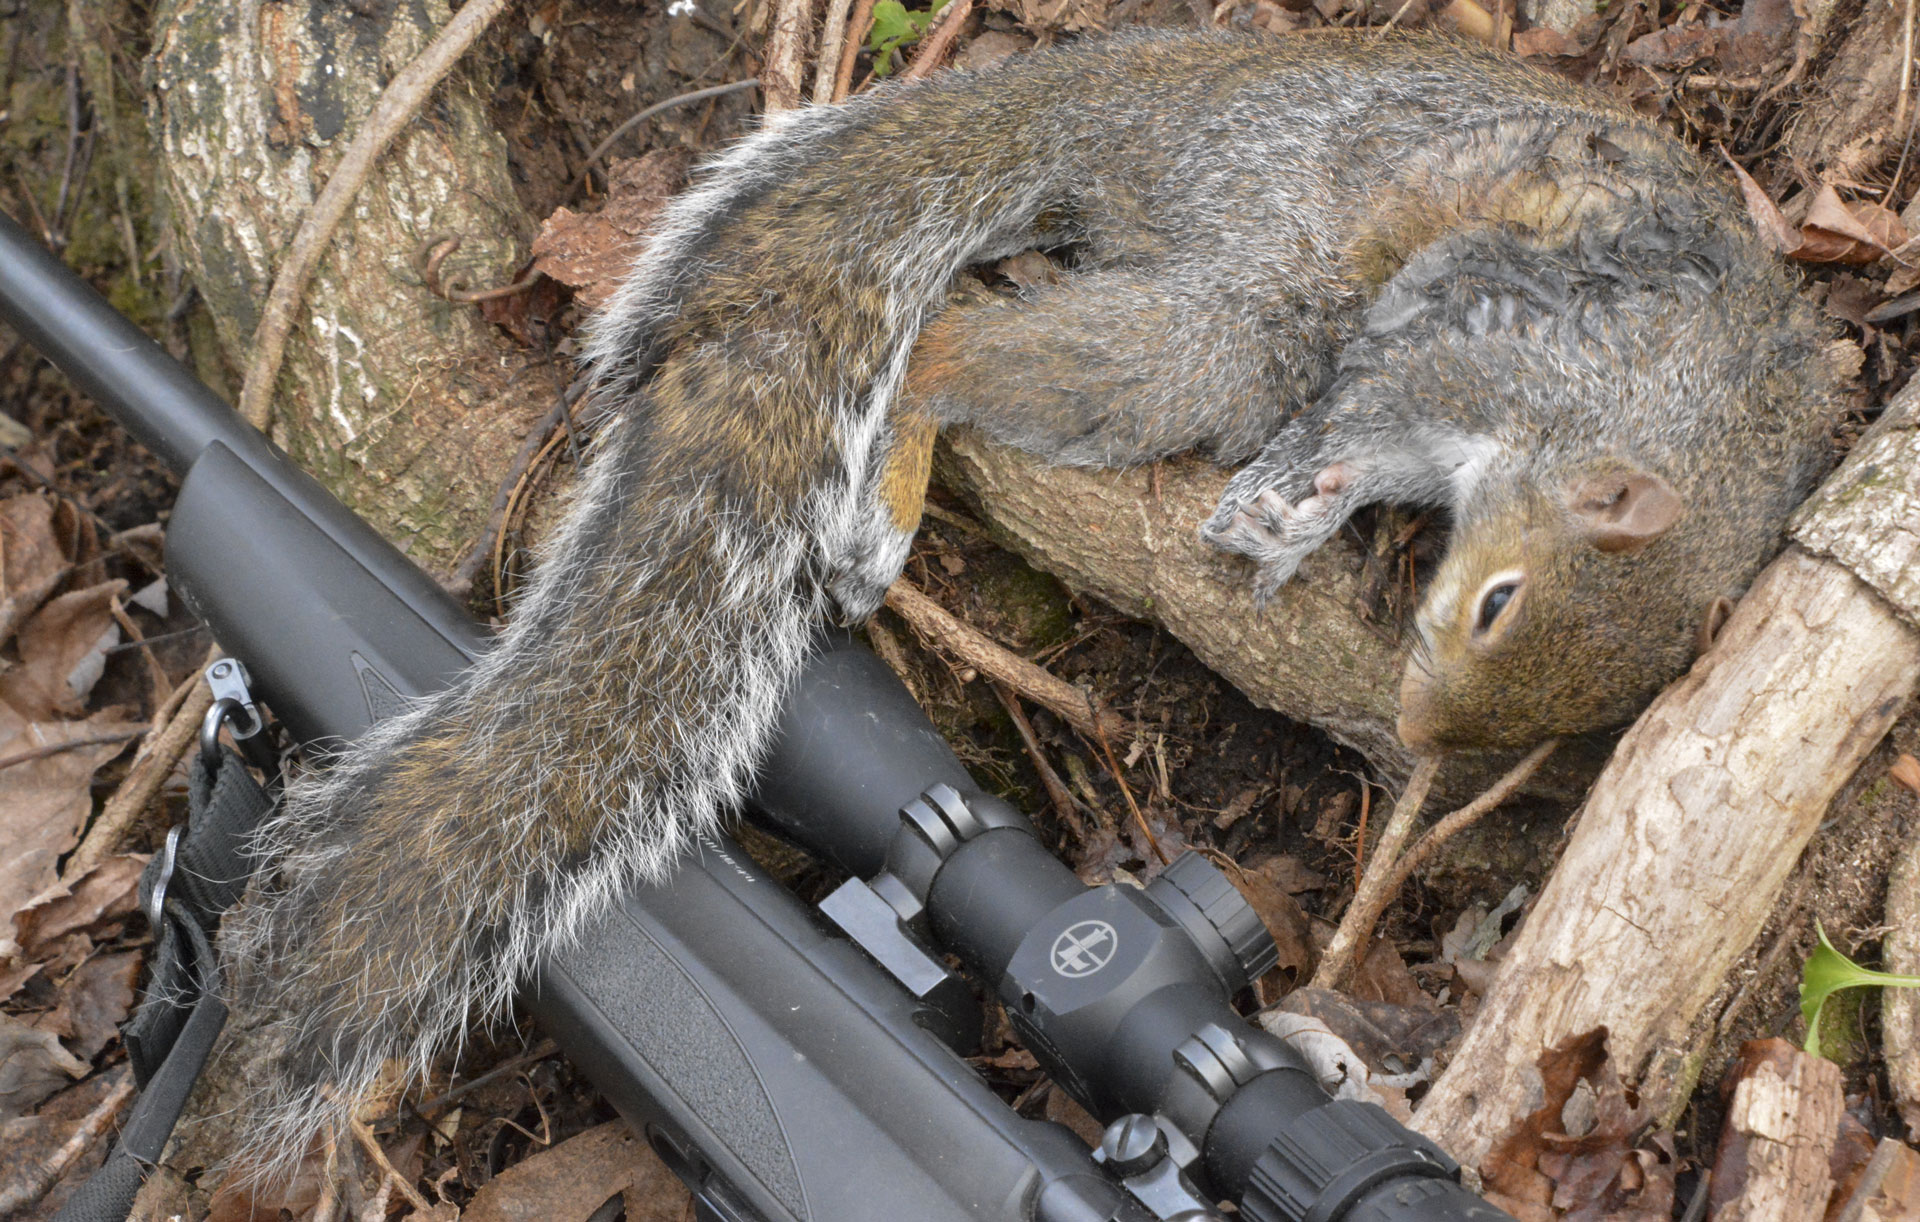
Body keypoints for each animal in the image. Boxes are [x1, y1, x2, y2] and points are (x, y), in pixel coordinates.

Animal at [215, 29, 1841, 1174]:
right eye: (1498, 602)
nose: (1423, 724)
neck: (1640, 428)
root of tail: (1162, 83)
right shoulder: (1482, 324)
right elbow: (1373, 401)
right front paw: (1291, 501)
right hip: (1243, 295)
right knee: (953, 348)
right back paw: (899, 489)